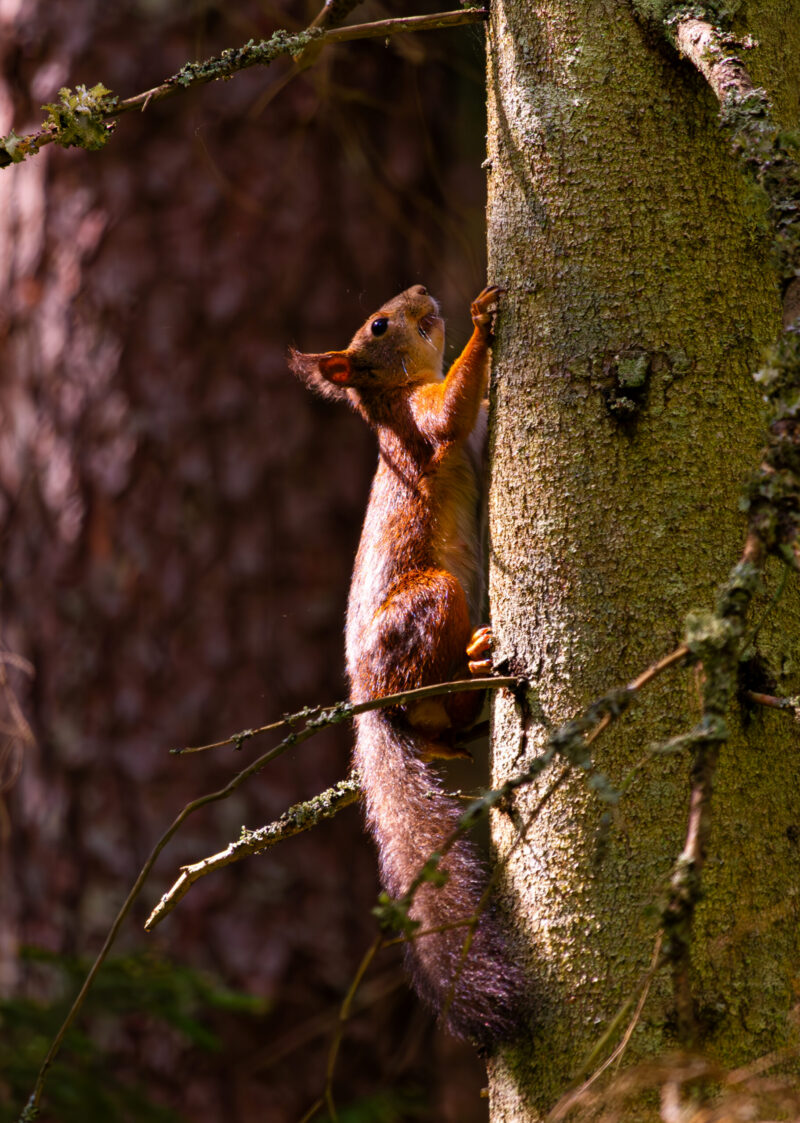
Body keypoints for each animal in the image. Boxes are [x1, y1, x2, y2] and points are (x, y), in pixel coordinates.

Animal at [289, 284, 521, 1046]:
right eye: (379, 324)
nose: (422, 290)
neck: (389, 402)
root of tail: (369, 703)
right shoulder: (421, 423)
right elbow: (448, 414)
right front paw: (481, 317)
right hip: (429, 603)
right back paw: (475, 668)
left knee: (436, 730)